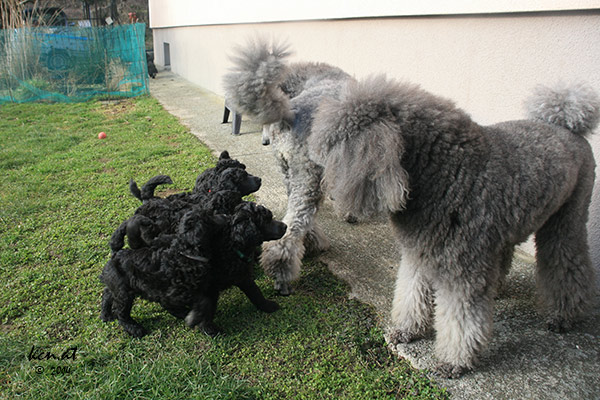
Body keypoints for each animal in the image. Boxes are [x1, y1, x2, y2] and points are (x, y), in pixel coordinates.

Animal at [100, 202, 287, 337]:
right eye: (267, 220)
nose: (285, 226)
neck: (232, 244)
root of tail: (117, 253)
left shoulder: (241, 276)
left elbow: (255, 292)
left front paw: (267, 305)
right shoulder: (206, 287)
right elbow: (207, 306)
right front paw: (208, 329)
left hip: (124, 286)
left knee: (108, 294)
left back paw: (105, 314)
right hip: (127, 292)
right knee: (122, 310)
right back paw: (134, 328)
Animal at [224, 39, 599, 377]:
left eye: (338, 144)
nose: (267, 139)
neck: (449, 170)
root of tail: (564, 124)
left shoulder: (460, 263)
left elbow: (459, 316)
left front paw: (452, 360)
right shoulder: (421, 251)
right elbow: (412, 293)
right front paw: (409, 331)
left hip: (566, 218)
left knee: (566, 262)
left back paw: (563, 315)